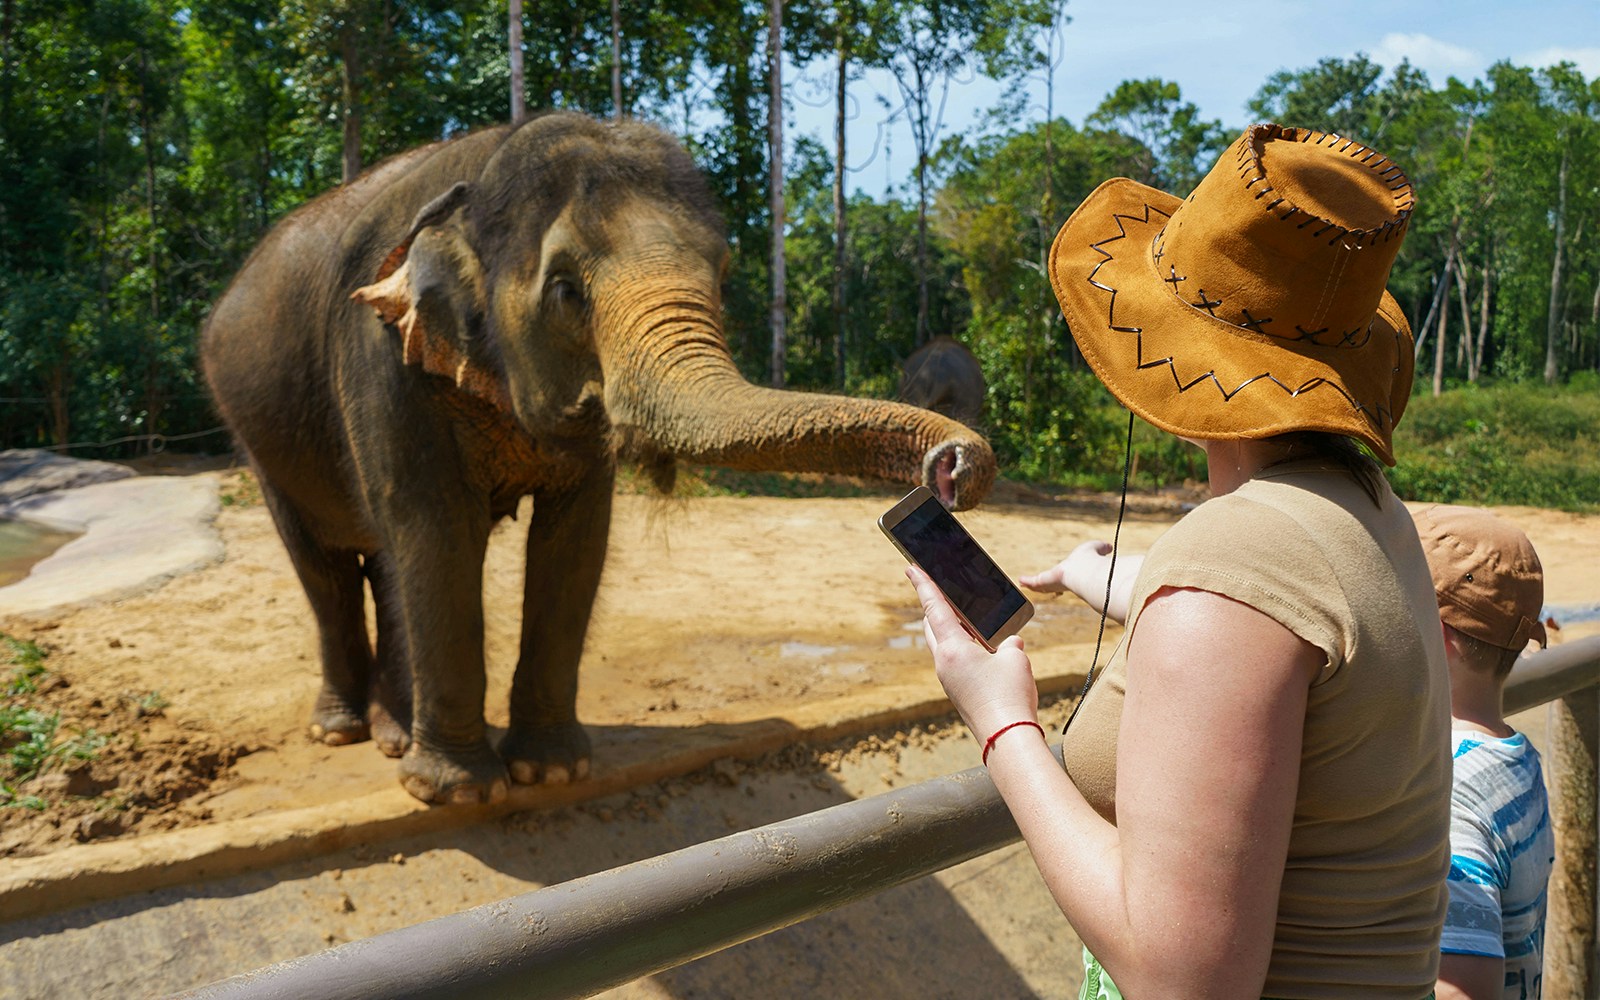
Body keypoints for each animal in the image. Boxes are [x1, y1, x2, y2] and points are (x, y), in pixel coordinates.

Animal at [199, 111, 995, 805]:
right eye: (564, 290)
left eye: (722, 271)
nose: (954, 464)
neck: (477, 174)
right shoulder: (384, 361)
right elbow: (437, 533)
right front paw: (464, 793)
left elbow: (576, 542)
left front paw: (550, 773)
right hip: (257, 436)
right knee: (332, 566)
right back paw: (342, 734)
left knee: (382, 563)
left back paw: (392, 736)